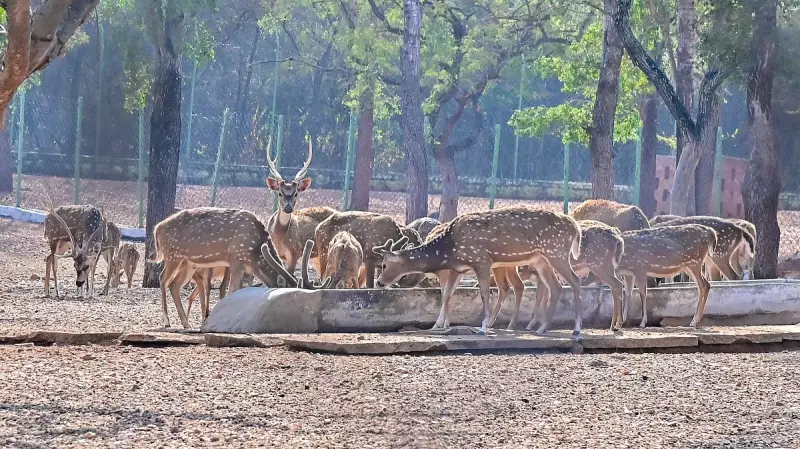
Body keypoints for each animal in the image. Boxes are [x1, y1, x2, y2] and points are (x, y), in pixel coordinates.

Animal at [150, 207, 330, 329]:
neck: (254, 252)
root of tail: (157, 228)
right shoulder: (235, 257)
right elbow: (232, 289)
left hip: (188, 264)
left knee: (174, 285)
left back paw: (186, 324)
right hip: (173, 255)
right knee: (163, 279)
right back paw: (167, 322)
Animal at [265, 137, 337, 275]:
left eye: (296, 193)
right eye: (280, 193)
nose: (288, 208)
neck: (279, 238)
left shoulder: (295, 252)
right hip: (316, 258)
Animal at [373, 206, 584, 336]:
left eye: (384, 265)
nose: (379, 282)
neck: (450, 248)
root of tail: (576, 228)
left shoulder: (481, 260)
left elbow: (483, 293)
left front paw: (482, 328)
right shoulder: (457, 269)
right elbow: (447, 294)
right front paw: (437, 326)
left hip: (556, 251)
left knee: (574, 281)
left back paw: (576, 329)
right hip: (541, 260)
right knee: (555, 287)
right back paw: (541, 328)